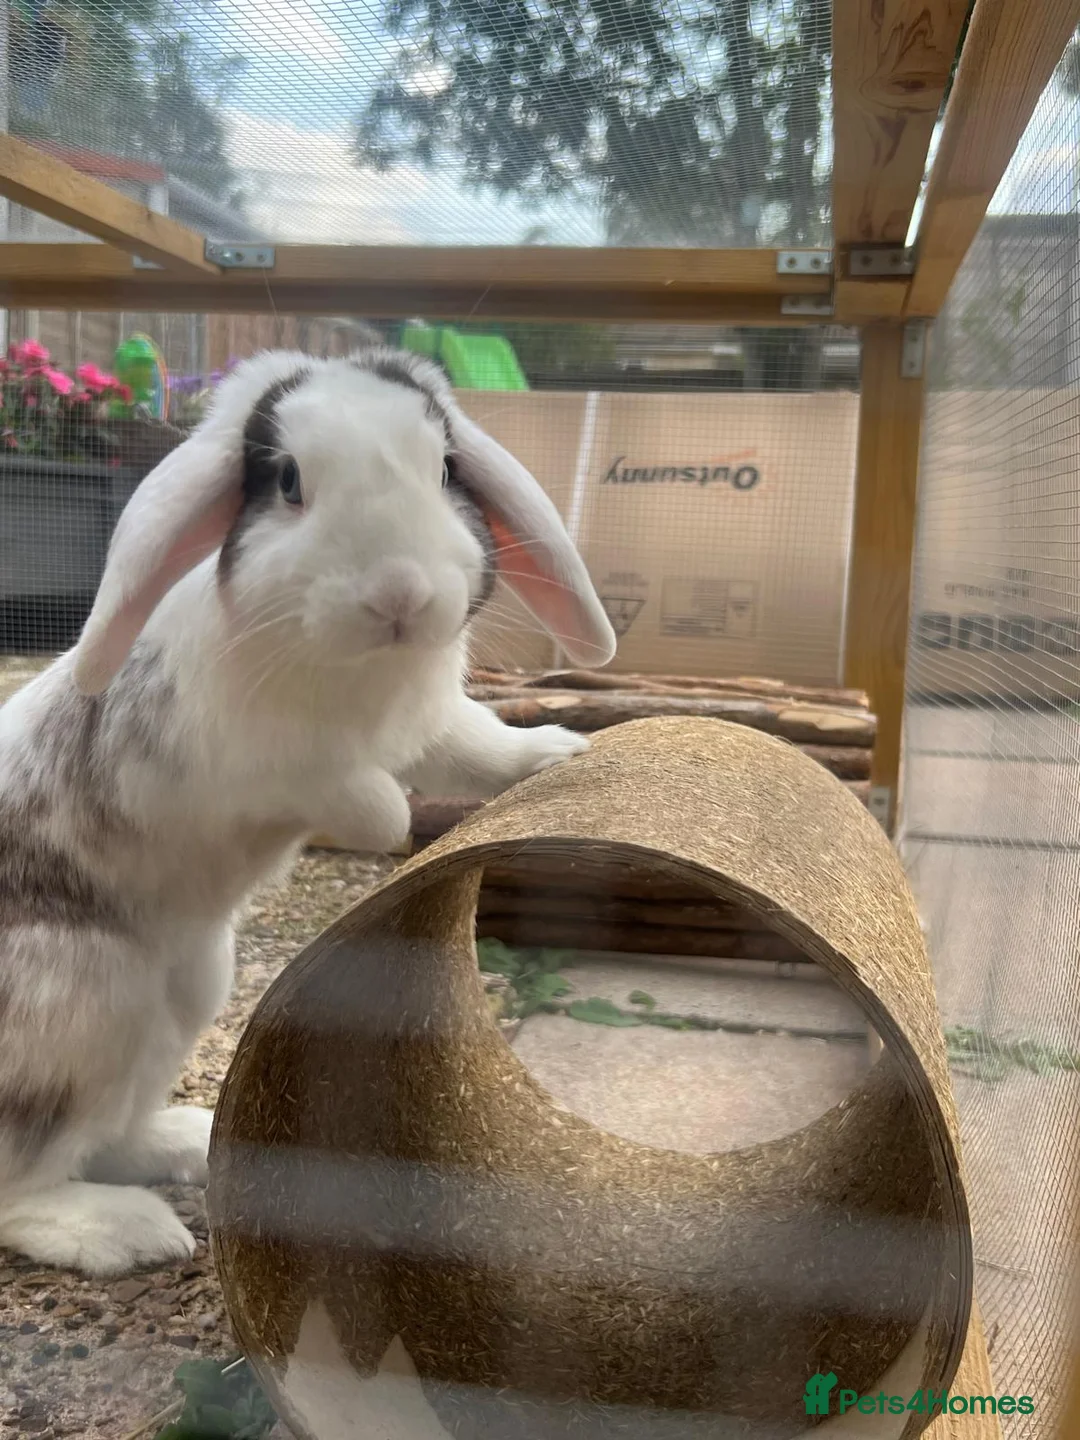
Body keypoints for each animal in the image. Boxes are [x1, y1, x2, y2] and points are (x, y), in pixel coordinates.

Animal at [0, 347, 616, 1277]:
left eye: (445, 468)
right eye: (288, 480)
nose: (400, 594)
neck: (353, 669)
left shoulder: (433, 724)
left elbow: (477, 747)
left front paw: (562, 753)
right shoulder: (258, 770)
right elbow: (353, 792)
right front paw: (392, 824)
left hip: (188, 988)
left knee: (107, 1133)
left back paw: (183, 1142)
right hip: (81, 1003)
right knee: (21, 1183)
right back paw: (124, 1230)